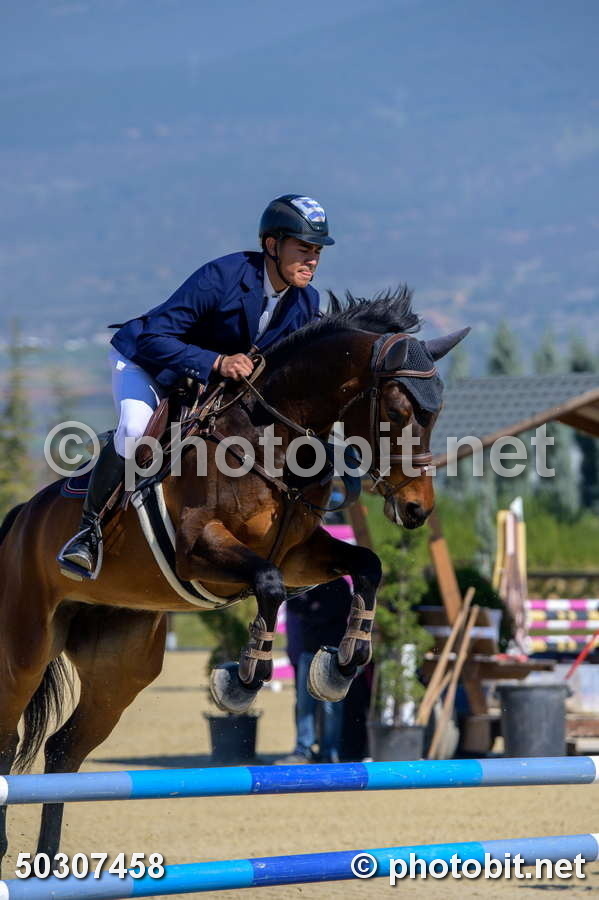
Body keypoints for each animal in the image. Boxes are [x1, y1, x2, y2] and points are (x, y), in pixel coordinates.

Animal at [0, 288, 467, 866]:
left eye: (436, 411)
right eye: (401, 411)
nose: (416, 509)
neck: (272, 435)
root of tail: (20, 519)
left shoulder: (299, 554)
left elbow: (367, 566)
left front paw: (340, 666)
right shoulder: (201, 548)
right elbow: (267, 585)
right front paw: (241, 681)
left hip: (120, 666)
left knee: (63, 750)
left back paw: (48, 860)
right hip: (24, 650)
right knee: (6, 737)